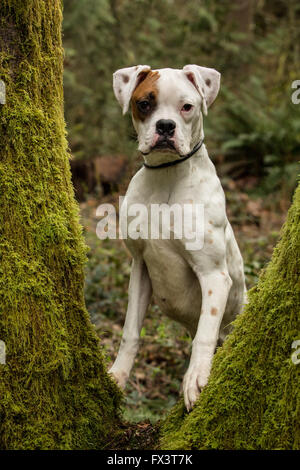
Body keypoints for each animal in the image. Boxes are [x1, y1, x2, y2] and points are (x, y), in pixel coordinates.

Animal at [109, 64, 245, 410]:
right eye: (145, 104)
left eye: (187, 107)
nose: (165, 126)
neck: (167, 175)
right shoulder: (140, 267)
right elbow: (130, 331)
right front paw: (118, 374)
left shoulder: (214, 276)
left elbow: (205, 333)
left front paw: (195, 378)